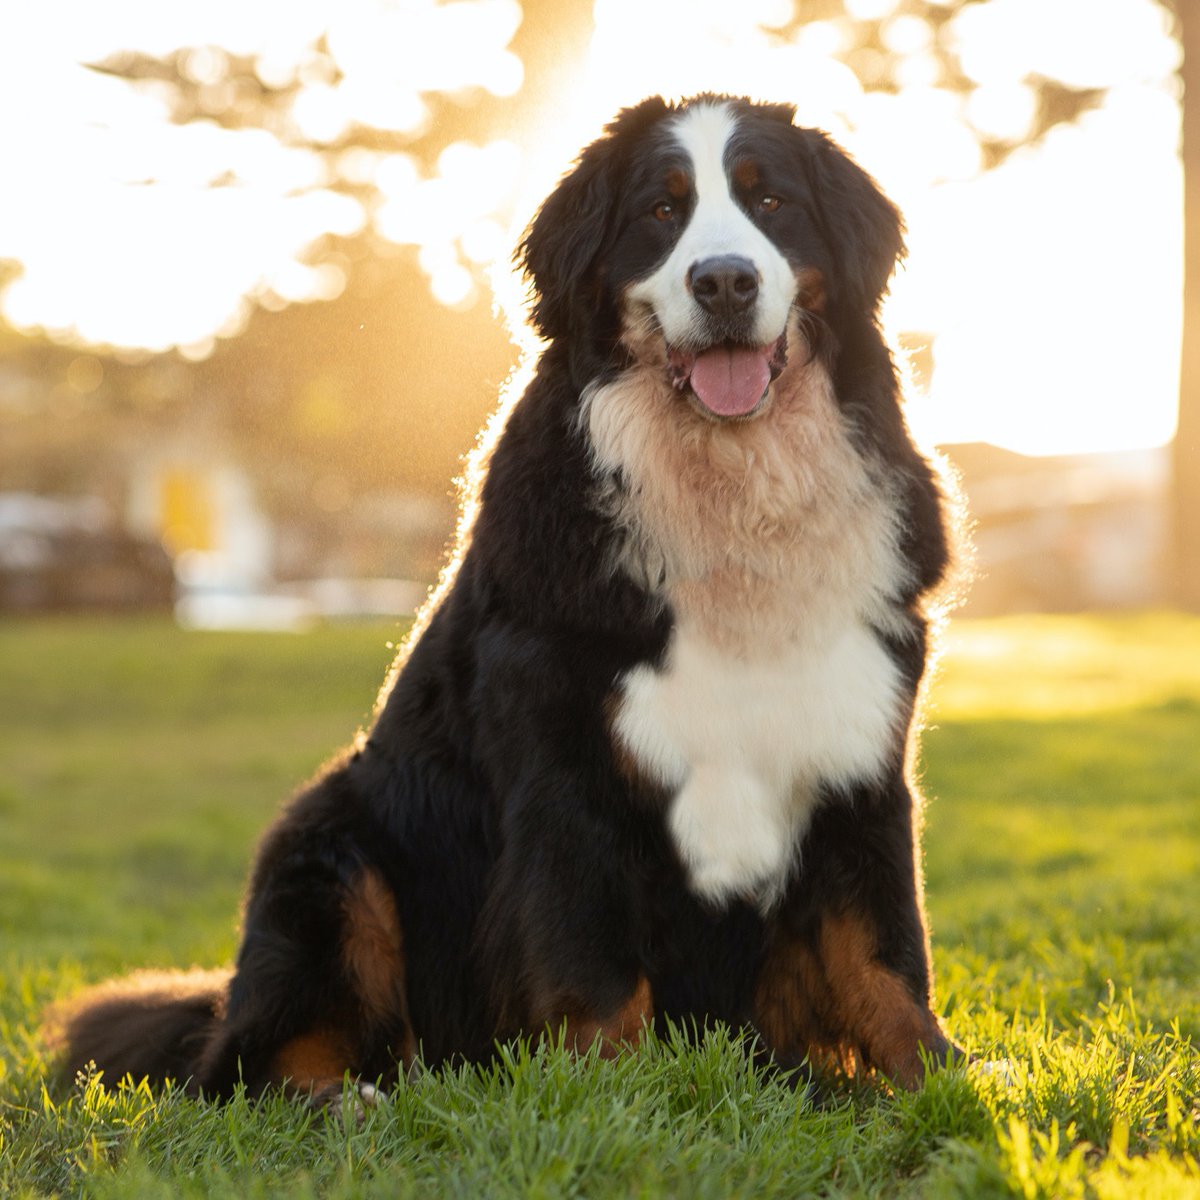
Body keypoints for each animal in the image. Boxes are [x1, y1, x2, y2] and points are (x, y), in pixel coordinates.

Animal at [56, 91, 964, 1104]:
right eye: (662, 211)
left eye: (771, 203)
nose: (724, 281)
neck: (729, 512)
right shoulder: (565, 771)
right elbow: (593, 969)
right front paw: (617, 1101)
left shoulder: (860, 760)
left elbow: (882, 955)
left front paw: (950, 1082)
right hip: (331, 846)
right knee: (249, 1064)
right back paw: (353, 1103)